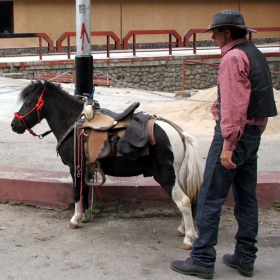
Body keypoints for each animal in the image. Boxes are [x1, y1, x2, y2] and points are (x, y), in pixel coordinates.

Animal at [10, 79, 202, 249]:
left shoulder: (75, 167)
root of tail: (179, 133)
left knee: (184, 201)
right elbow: (85, 191)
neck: (73, 122)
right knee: (186, 198)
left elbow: (77, 191)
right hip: (174, 174)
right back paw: (182, 229)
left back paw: (189, 238)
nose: (14, 125)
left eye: (28, 102)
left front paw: (75, 219)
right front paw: (84, 216)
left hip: (165, 174)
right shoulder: (86, 167)